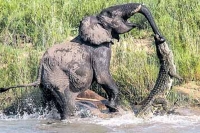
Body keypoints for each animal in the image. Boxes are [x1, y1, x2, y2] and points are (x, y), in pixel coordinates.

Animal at [0, 2, 164, 119]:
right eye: (111, 14)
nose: (159, 38)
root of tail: (40, 69)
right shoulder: (100, 50)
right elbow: (103, 76)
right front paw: (113, 107)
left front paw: (112, 108)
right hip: (57, 79)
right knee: (67, 105)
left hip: (46, 84)